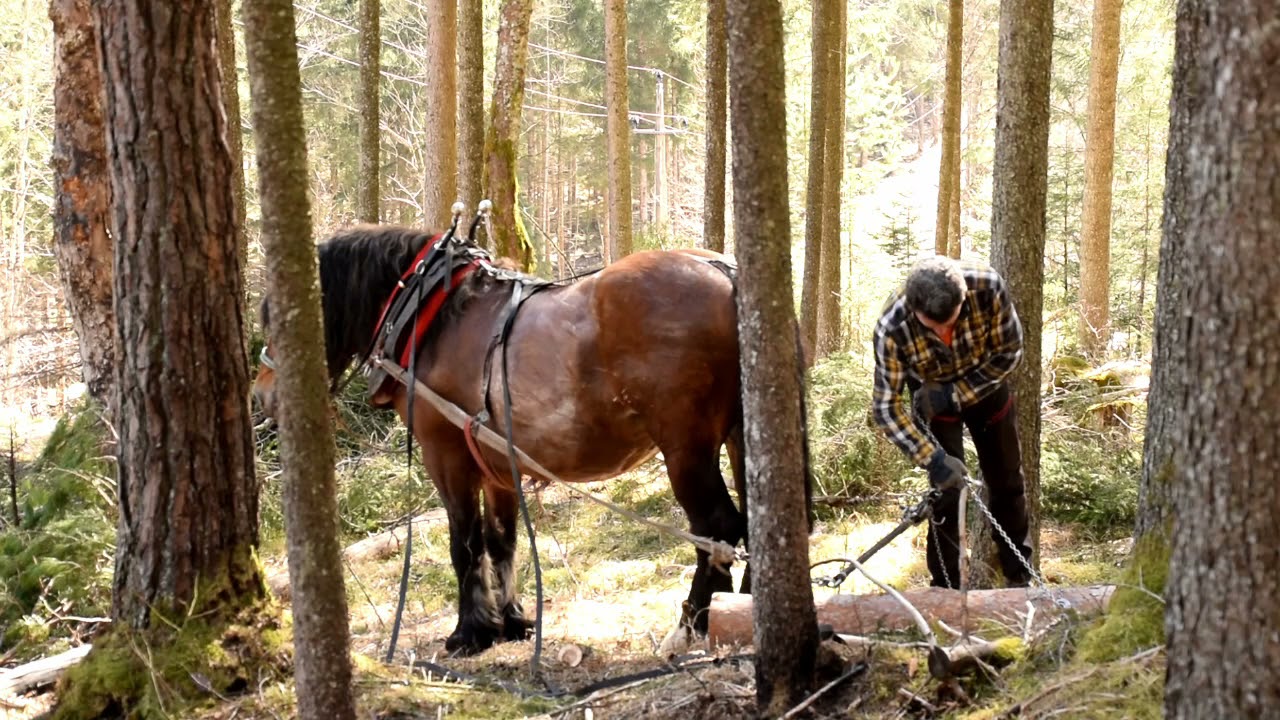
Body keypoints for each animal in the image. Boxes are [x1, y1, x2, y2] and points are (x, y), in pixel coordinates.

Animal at [252, 224, 811, 655]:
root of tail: (722, 269)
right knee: (760, 518)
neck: (431, 315)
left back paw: (691, 623)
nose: (262, 396)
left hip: (686, 448)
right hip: (741, 431)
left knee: (717, 528)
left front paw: (470, 632)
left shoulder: (445, 453)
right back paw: (743, 610)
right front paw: (513, 620)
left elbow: (464, 542)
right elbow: (502, 540)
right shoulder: (497, 464)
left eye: (277, 319)